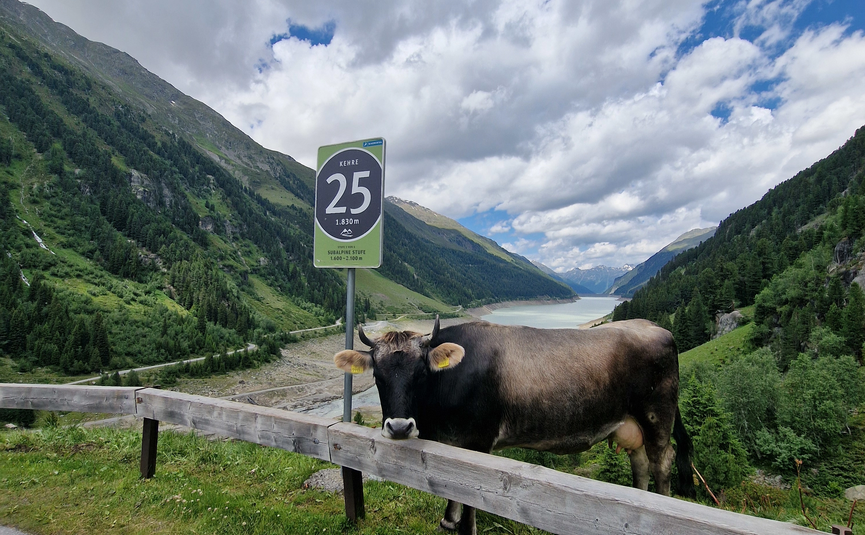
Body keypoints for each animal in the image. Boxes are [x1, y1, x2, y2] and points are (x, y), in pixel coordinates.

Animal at [334, 317, 695, 535]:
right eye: (378, 376)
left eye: (422, 373)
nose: (399, 427)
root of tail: (655, 326)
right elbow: (449, 484)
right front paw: (448, 520)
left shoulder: (478, 440)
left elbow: (468, 494)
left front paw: (464, 525)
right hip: (632, 425)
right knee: (641, 464)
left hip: (657, 416)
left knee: (662, 461)